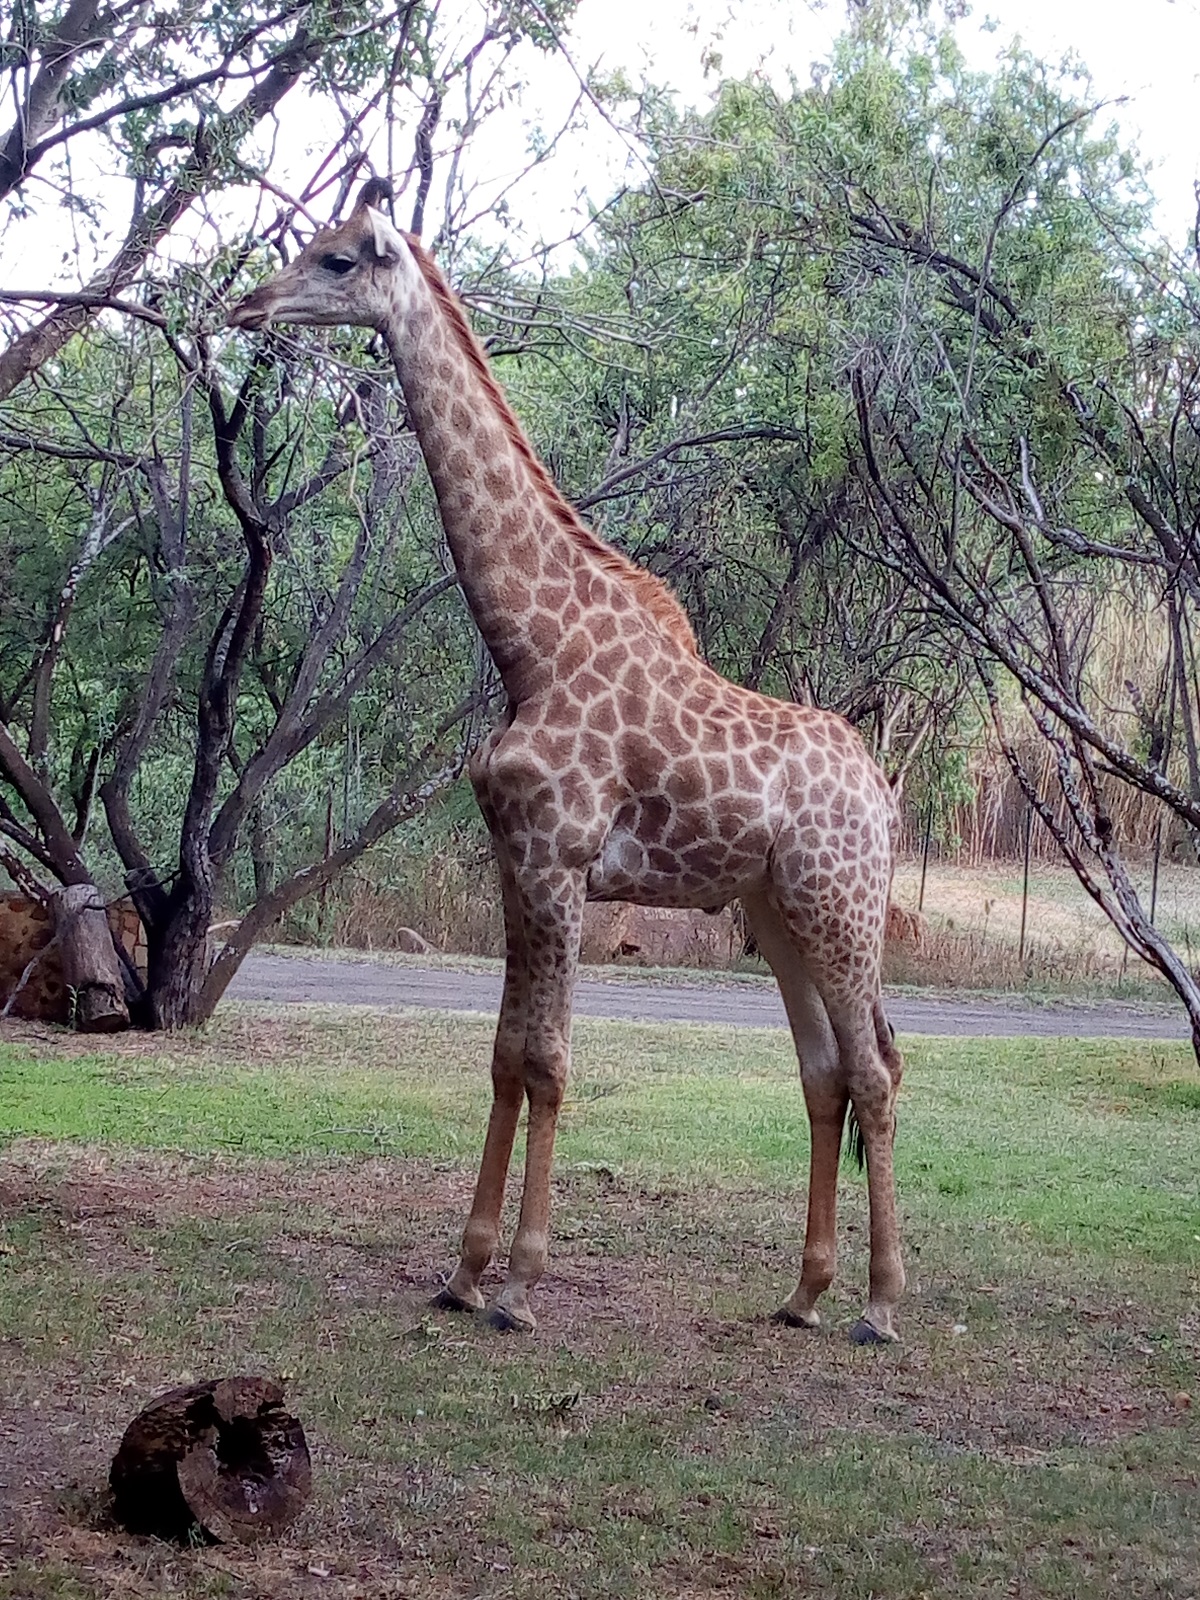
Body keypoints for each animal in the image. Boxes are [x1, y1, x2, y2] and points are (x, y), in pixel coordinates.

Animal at [232, 181, 908, 1344]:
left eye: (338, 259)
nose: (248, 305)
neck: (530, 646)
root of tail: (883, 795)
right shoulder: (517, 861)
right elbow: (504, 1056)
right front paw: (463, 1273)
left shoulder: (559, 859)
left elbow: (547, 1061)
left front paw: (519, 1286)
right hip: (777, 912)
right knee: (826, 1074)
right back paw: (803, 1294)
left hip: (840, 903)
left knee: (875, 1069)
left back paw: (878, 1304)